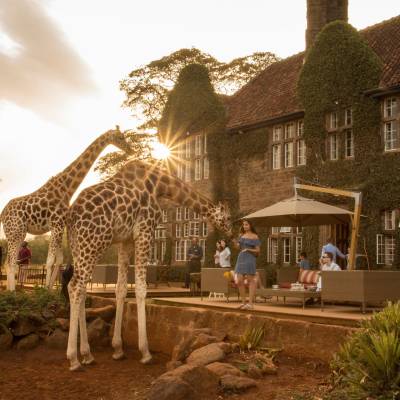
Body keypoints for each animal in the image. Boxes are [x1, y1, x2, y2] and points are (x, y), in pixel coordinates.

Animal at [0, 128, 133, 290]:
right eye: (120, 137)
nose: (131, 150)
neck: (66, 189)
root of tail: (2, 213)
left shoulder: (59, 226)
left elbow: (59, 260)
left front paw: (50, 289)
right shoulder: (56, 224)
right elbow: (50, 261)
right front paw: (45, 290)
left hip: (18, 232)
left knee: (8, 261)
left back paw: (10, 290)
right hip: (16, 231)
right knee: (11, 262)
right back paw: (12, 291)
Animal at [65, 160, 231, 372]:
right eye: (227, 218)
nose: (232, 232)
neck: (160, 186)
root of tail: (71, 215)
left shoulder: (125, 240)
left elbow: (121, 289)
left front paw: (118, 349)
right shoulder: (145, 231)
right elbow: (141, 288)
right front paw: (145, 352)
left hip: (78, 246)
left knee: (81, 287)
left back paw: (87, 355)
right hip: (94, 242)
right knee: (75, 286)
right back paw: (74, 359)